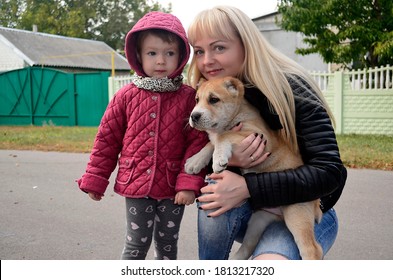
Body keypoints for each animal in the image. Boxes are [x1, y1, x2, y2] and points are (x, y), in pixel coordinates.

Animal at [185, 76, 322, 260]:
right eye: (197, 100)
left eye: (213, 99)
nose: (194, 116)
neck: (236, 114)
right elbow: (211, 142)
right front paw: (195, 161)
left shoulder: (259, 137)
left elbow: (223, 136)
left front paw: (218, 159)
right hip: (258, 221)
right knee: (248, 246)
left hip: (296, 213)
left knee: (312, 249)